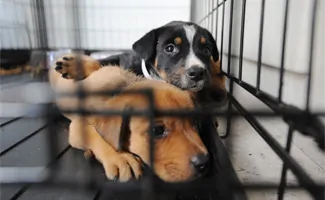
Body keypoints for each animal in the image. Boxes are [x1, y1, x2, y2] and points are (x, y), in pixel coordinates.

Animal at [48, 53, 208, 183]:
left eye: (195, 123)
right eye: (157, 130)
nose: (204, 163)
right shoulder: (77, 126)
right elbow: (99, 135)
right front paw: (121, 158)